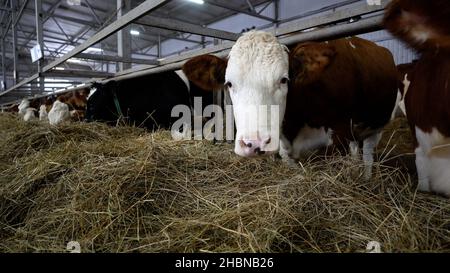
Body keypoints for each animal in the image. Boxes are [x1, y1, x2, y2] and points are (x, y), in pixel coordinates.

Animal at [182, 30, 398, 178]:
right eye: (229, 84)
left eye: (284, 79)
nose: (255, 144)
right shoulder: (285, 149)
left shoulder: (342, 135)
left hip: (376, 126)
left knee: (367, 155)